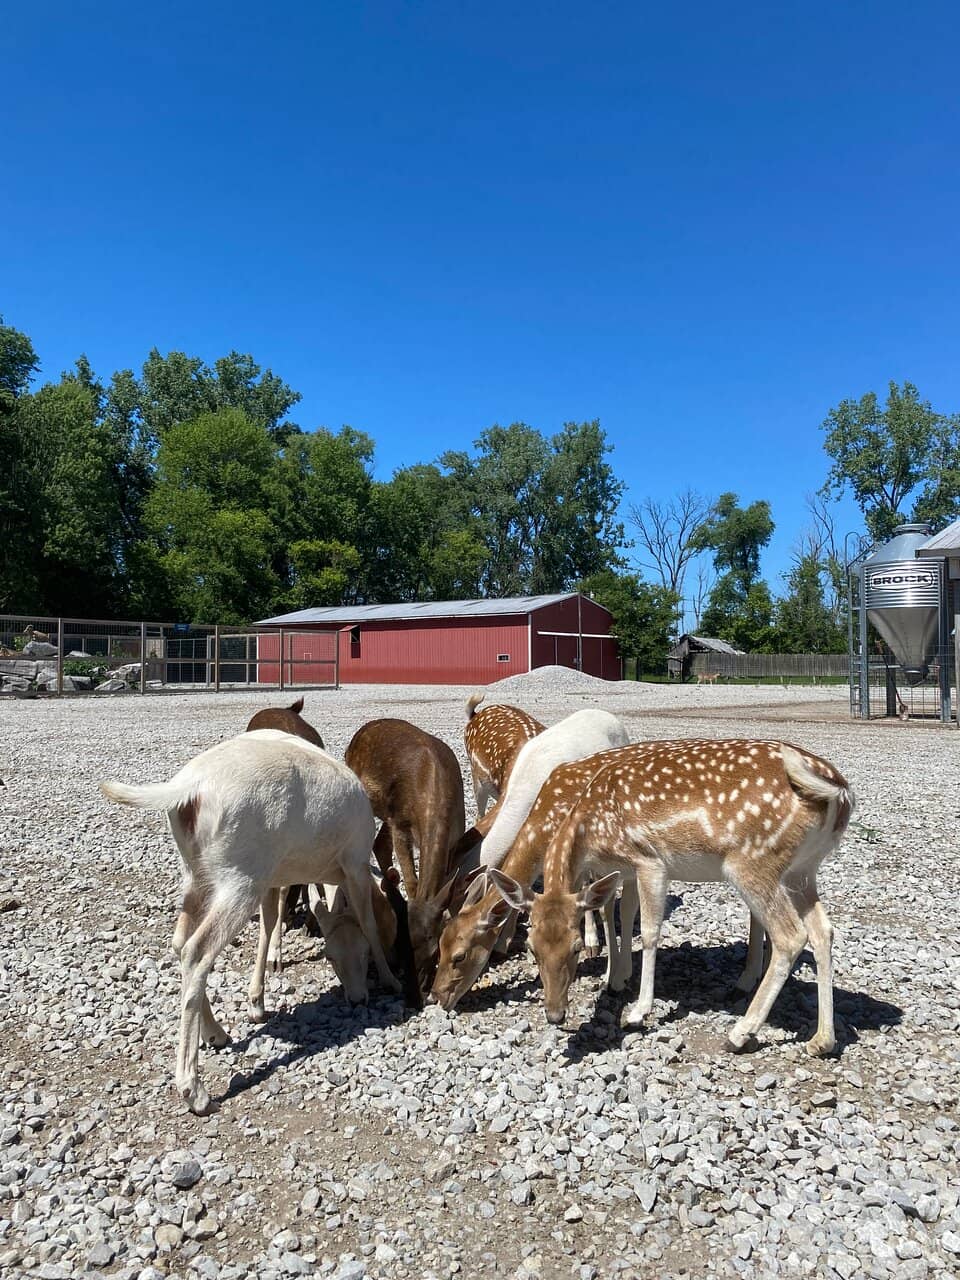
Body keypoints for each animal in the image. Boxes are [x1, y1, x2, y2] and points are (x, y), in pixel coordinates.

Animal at [100, 729, 402, 1114]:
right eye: (334, 957)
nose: (357, 998)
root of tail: (189, 787)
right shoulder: (355, 862)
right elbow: (368, 922)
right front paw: (392, 980)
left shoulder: (275, 876)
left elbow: (270, 923)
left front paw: (257, 1002)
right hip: (239, 877)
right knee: (197, 951)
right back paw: (195, 1091)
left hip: (198, 875)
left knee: (179, 943)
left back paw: (217, 1034)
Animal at [344, 718, 465, 992]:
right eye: (399, 947)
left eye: (434, 950)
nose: (418, 988)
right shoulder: (400, 823)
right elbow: (411, 880)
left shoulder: (456, 836)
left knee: (379, 844)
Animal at [488, 737, 852, 1056]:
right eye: (532, 948)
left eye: (576, 947)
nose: (554, 1014)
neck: (590, 829)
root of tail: (839, 792)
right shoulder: (621, 870)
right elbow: (618, 914)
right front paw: (615, 980)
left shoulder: (650, 861)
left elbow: (649, 932)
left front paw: (638, 1010)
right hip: (801, 870)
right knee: (823, 931)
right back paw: (822, 1041)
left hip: (754, 861)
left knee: (790, 936)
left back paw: (739, 1033)